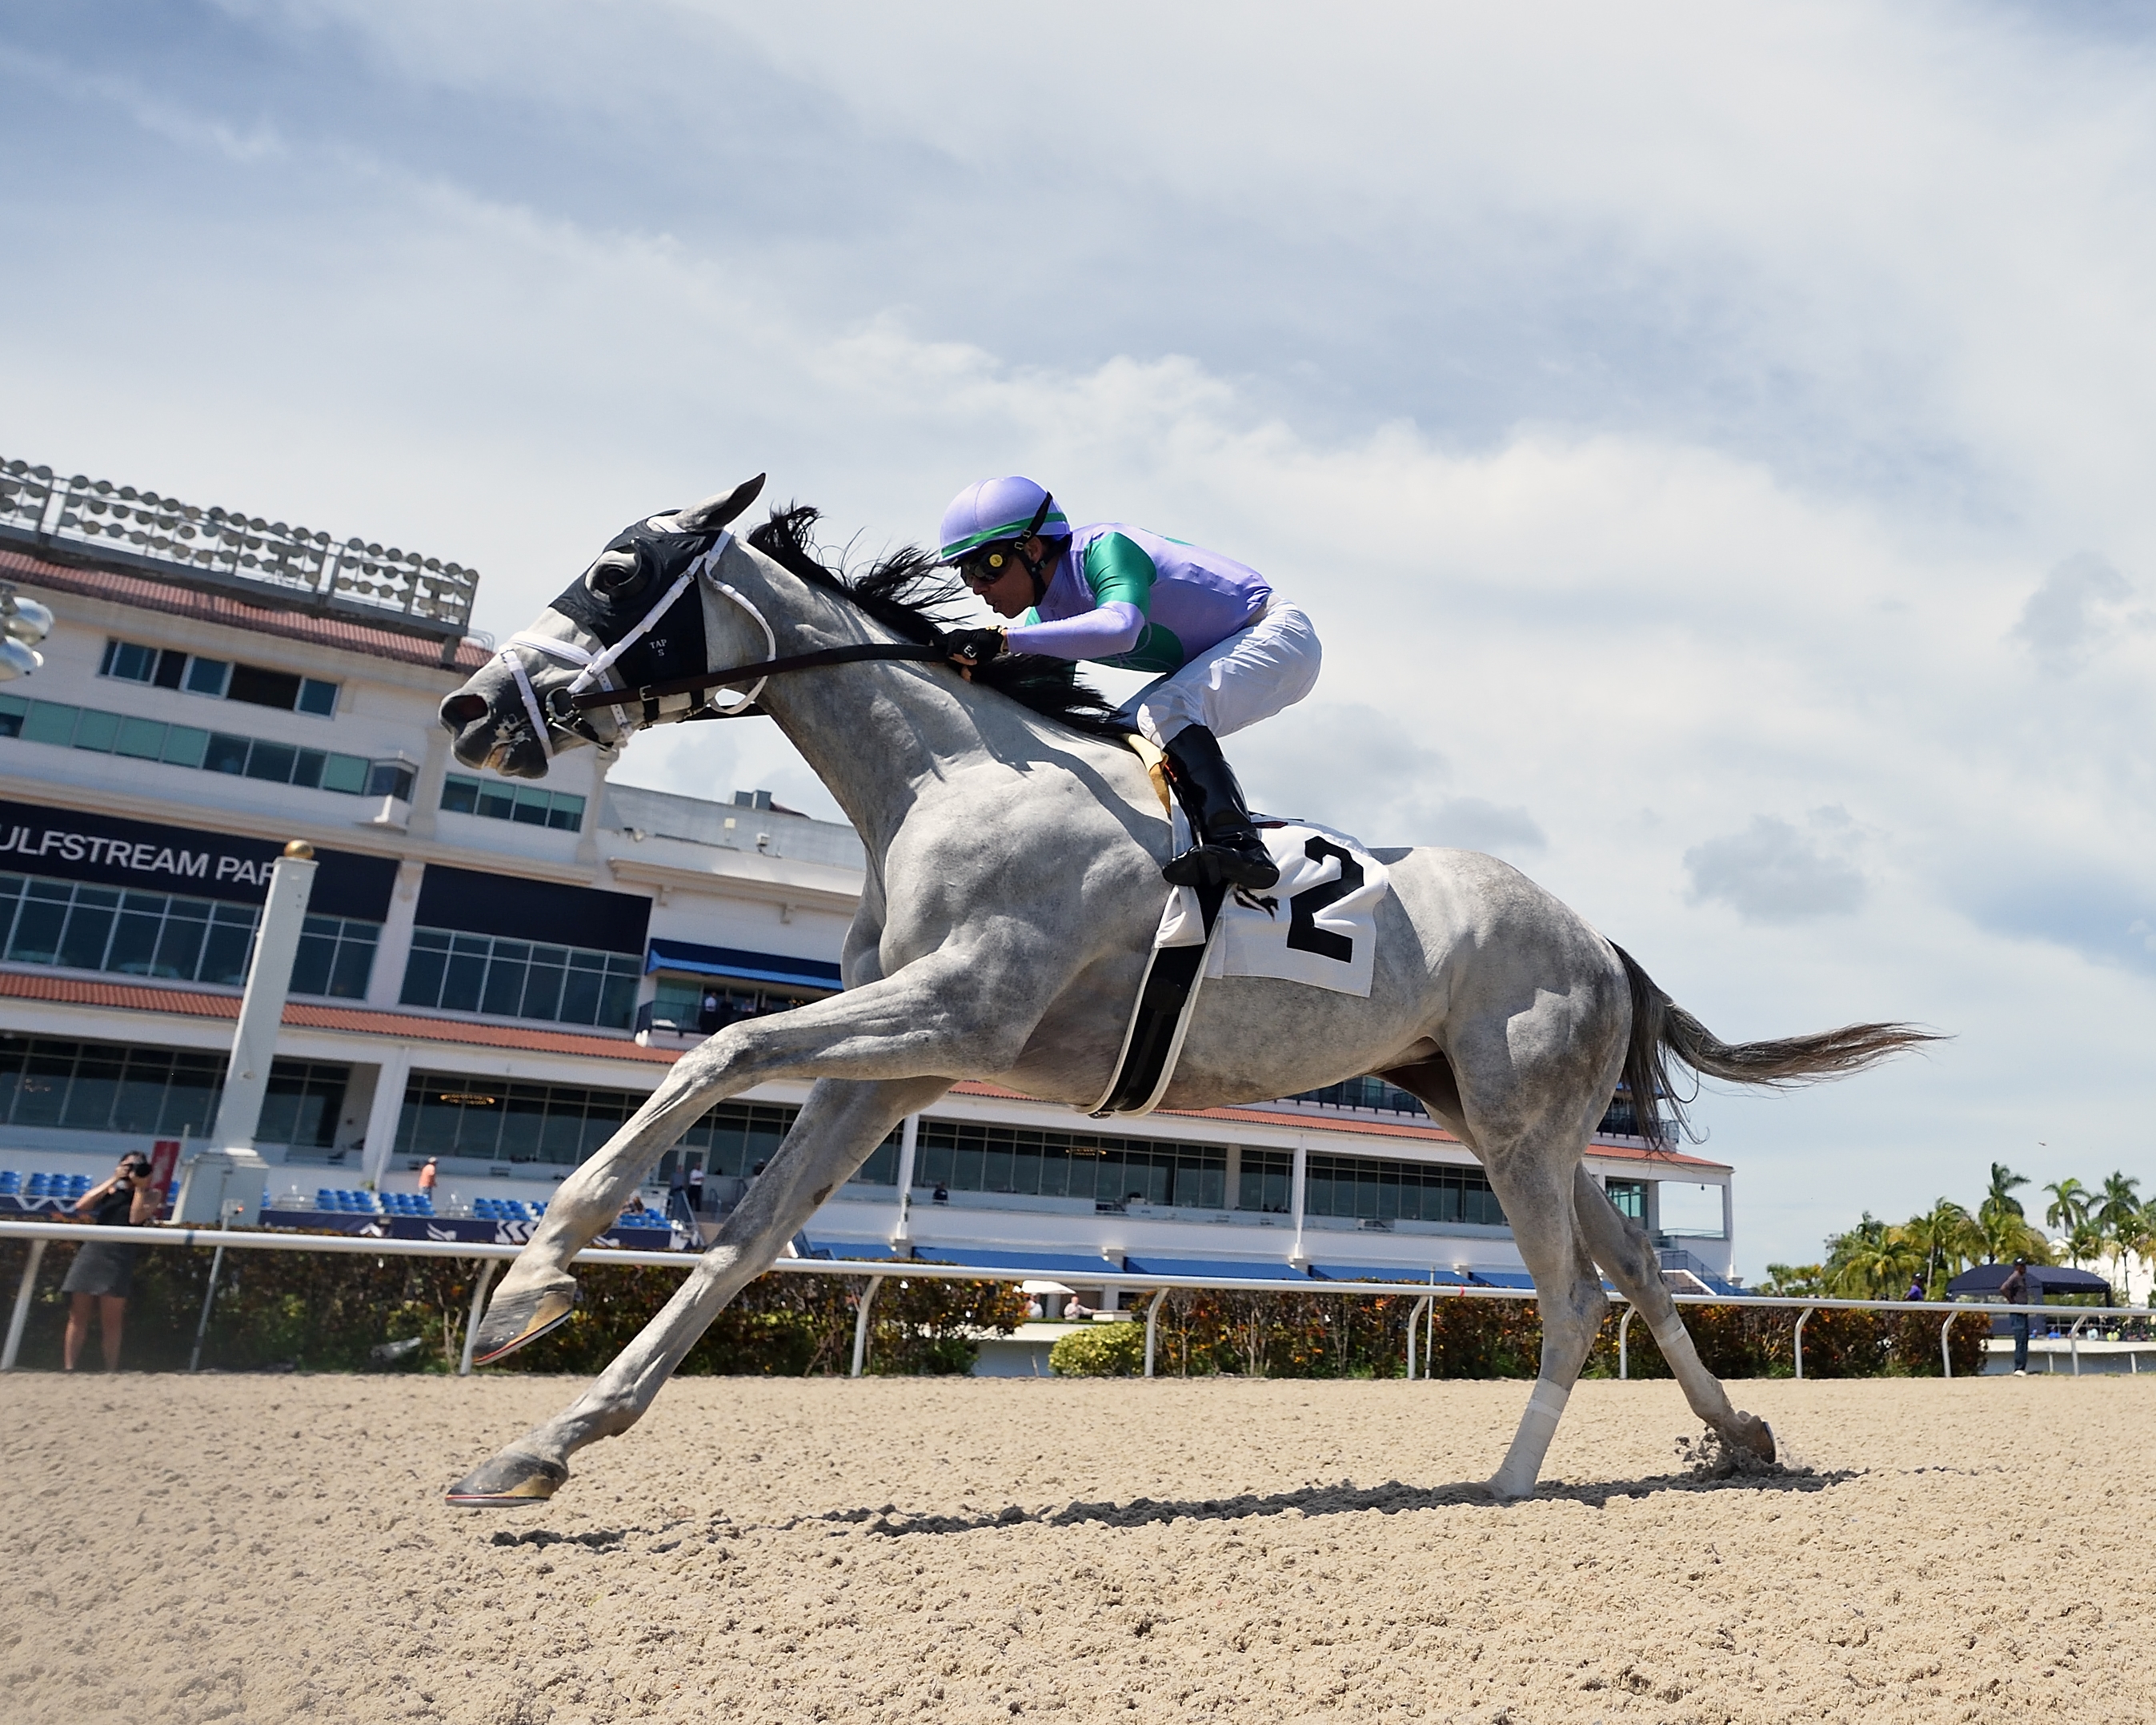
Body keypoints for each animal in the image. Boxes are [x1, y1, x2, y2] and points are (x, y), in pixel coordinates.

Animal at [435, 477, 1932, 1507]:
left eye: (615, 568)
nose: (469, 711)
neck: (951, 776)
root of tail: (1593, 933)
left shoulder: (956, 1010)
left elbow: (718, 1051)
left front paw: (528, 1290)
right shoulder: (903, 1065)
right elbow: (745, 1236)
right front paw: (541, 1443)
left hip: (1514, 1127)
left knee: (1570, 1294)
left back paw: (1506, 1482)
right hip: (1502, 1116)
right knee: (1630, 1267)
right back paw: (1736, 1436)